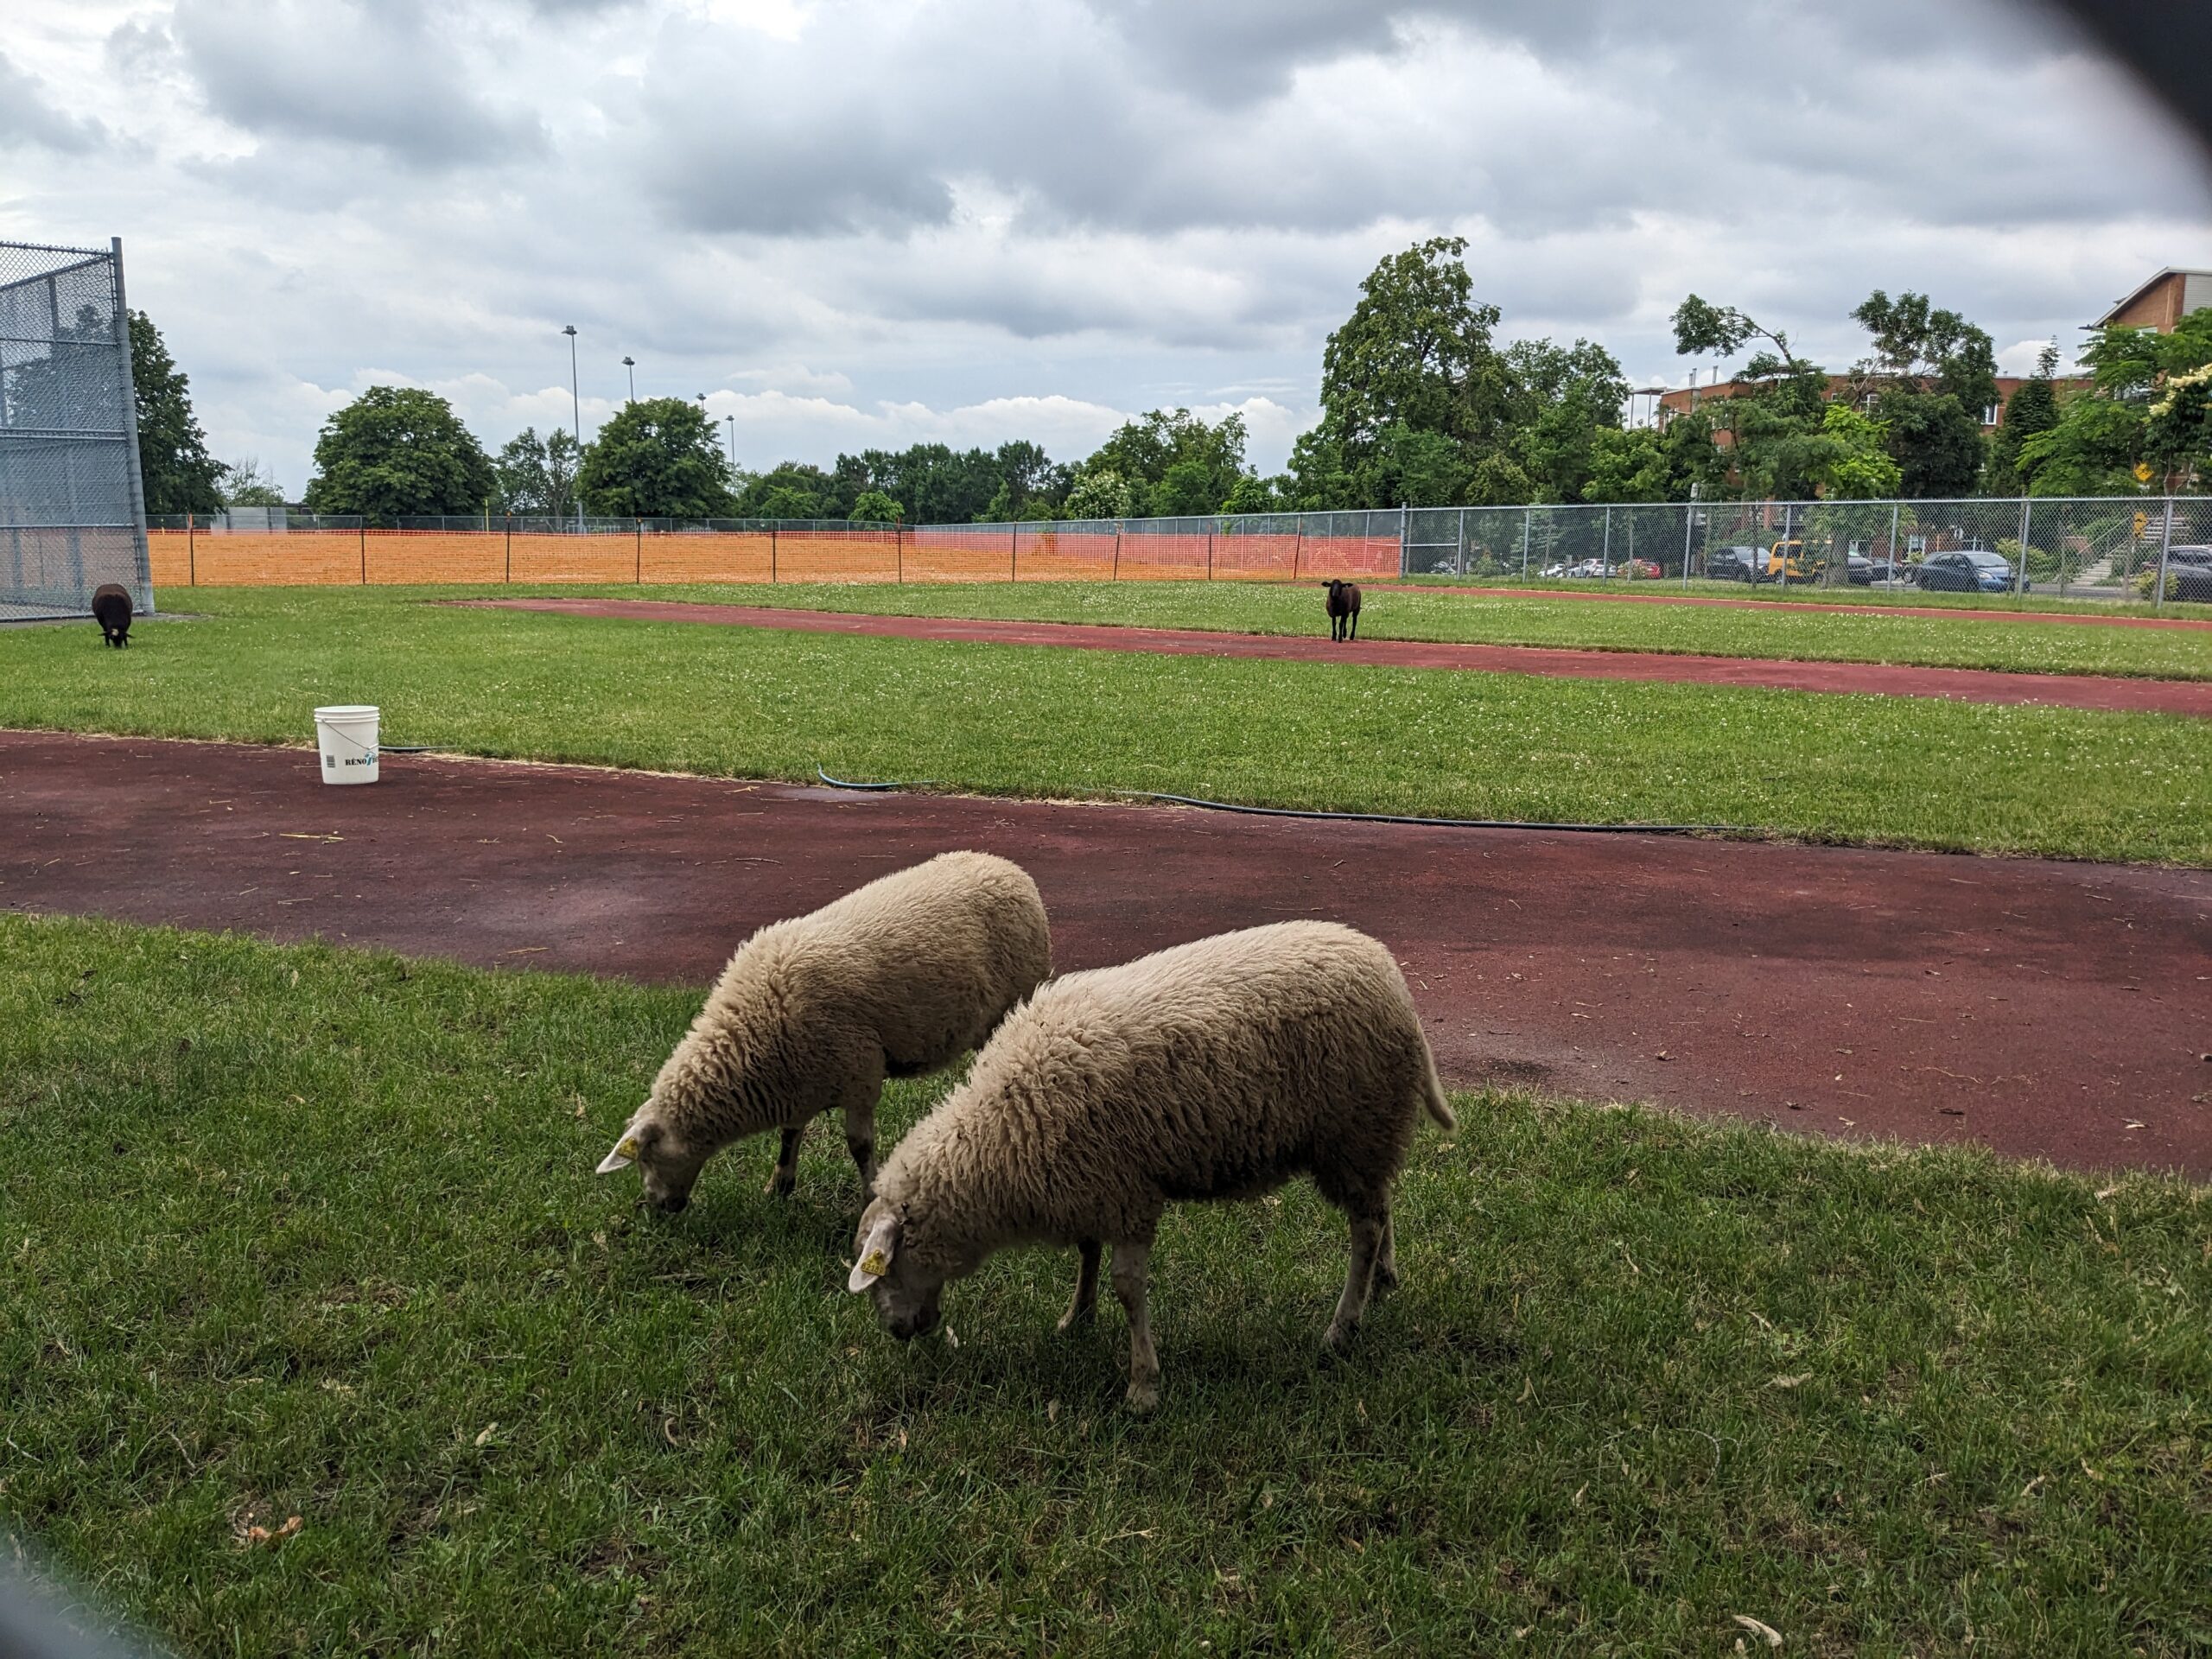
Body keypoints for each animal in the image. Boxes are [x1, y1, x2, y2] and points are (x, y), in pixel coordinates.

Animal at [597, 849, 1052, 1211]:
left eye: (646, 1156)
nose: (656, 1209)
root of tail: (1009, 868)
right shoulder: (801, 1077)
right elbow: (790, 1133)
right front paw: (780, 1186)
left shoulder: (860, 1075)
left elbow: (859, 1145)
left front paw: (869, 1195)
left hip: (1016, 998)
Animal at [844, 925, 1451, 1415]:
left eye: (886, 1270)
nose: (899, 1333)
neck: (1001, 1133)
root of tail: (1392, 978)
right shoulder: (1092, 1183)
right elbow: (1087, 1253)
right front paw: (1077, 1318)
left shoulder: (1129, 1194)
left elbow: (1128, 1289)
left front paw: (1142, 1386)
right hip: (1368, 1139)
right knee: (1379, 1208)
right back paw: (1382, 1281)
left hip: (1354, 1130)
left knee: (1364, 1230)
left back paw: (1342, 1328)